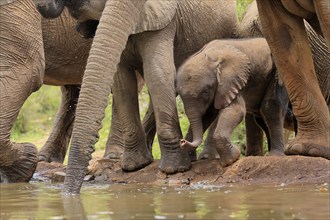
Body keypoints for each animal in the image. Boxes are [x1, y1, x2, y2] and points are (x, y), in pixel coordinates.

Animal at [35, 0, 237, 192]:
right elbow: (122, 82)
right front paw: (134, 165)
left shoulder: (163, 19)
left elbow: (158, 73)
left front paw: (174, 169)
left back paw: (206, 157)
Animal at [177, 37, 288, 166]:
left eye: (205, 91)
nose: (182, 141)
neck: (211, 56)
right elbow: (206, 116)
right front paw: (190, 160)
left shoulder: (232, 81)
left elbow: (236, 110)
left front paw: (232, 158)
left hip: (278, 72)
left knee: (270, 107)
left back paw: (275, 155)